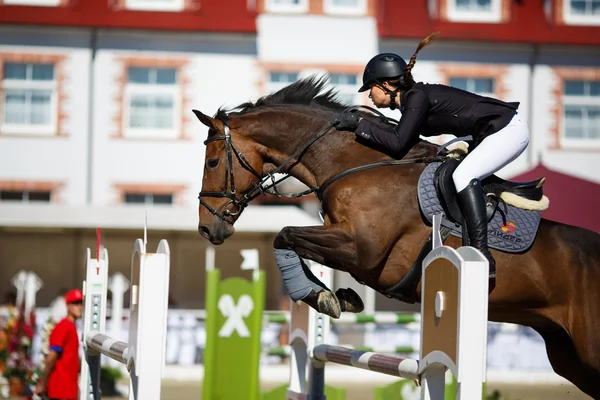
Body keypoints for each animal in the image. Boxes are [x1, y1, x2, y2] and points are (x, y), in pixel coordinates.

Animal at [195, 76, 600, 396]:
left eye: (213, 162)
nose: (207, 228)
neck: (354, 164)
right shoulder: (349, 247)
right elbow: (295, 242)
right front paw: (335, 296)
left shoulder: (362, 250)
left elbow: (285, 234)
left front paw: (321, 296)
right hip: (569, 356)